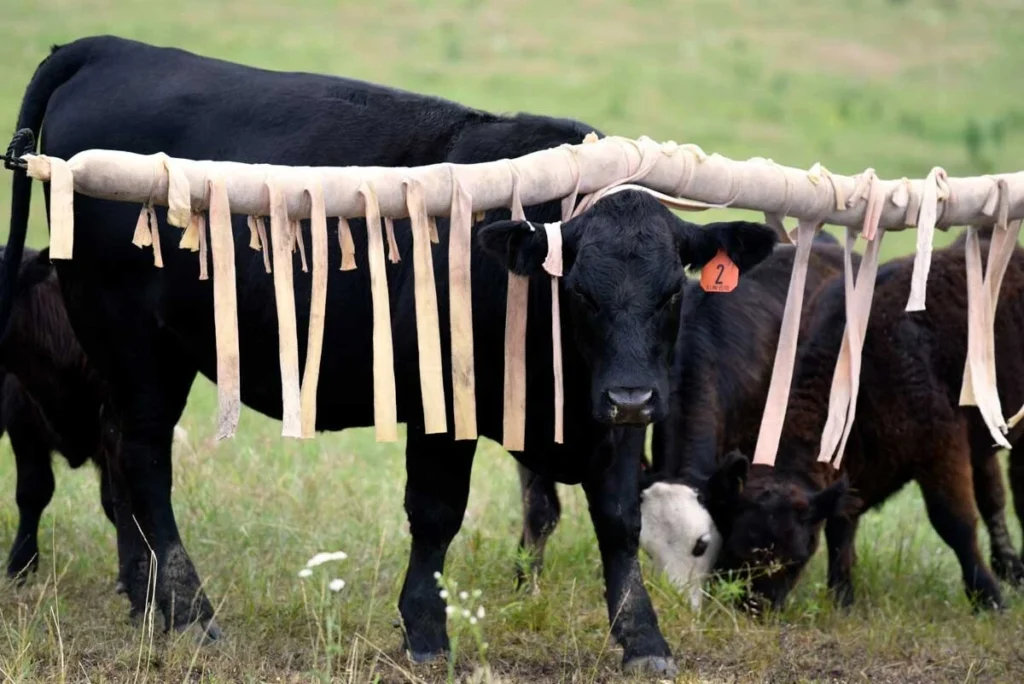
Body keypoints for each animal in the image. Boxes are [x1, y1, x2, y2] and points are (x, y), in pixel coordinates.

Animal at [2, 36, 778, 674]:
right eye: (578, 291)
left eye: (672, 291)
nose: (632, 396)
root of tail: (109, 47)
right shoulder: (444, 407)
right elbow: (436, 513)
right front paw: (427, 631)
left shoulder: (609, 423)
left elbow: (617, 521)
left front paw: (644, 639)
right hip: (135, 342)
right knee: (143, 462)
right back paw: (192, 613)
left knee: (119, 459)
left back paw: (146, 601)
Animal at [705, 239, 1024, 612]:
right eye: (734, 550)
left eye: (796, 560)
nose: (755, 608)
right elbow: (841, 527)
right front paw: (842, 596)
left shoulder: (940, 449)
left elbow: (954, 522)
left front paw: (989, 599)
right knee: (993, 495)